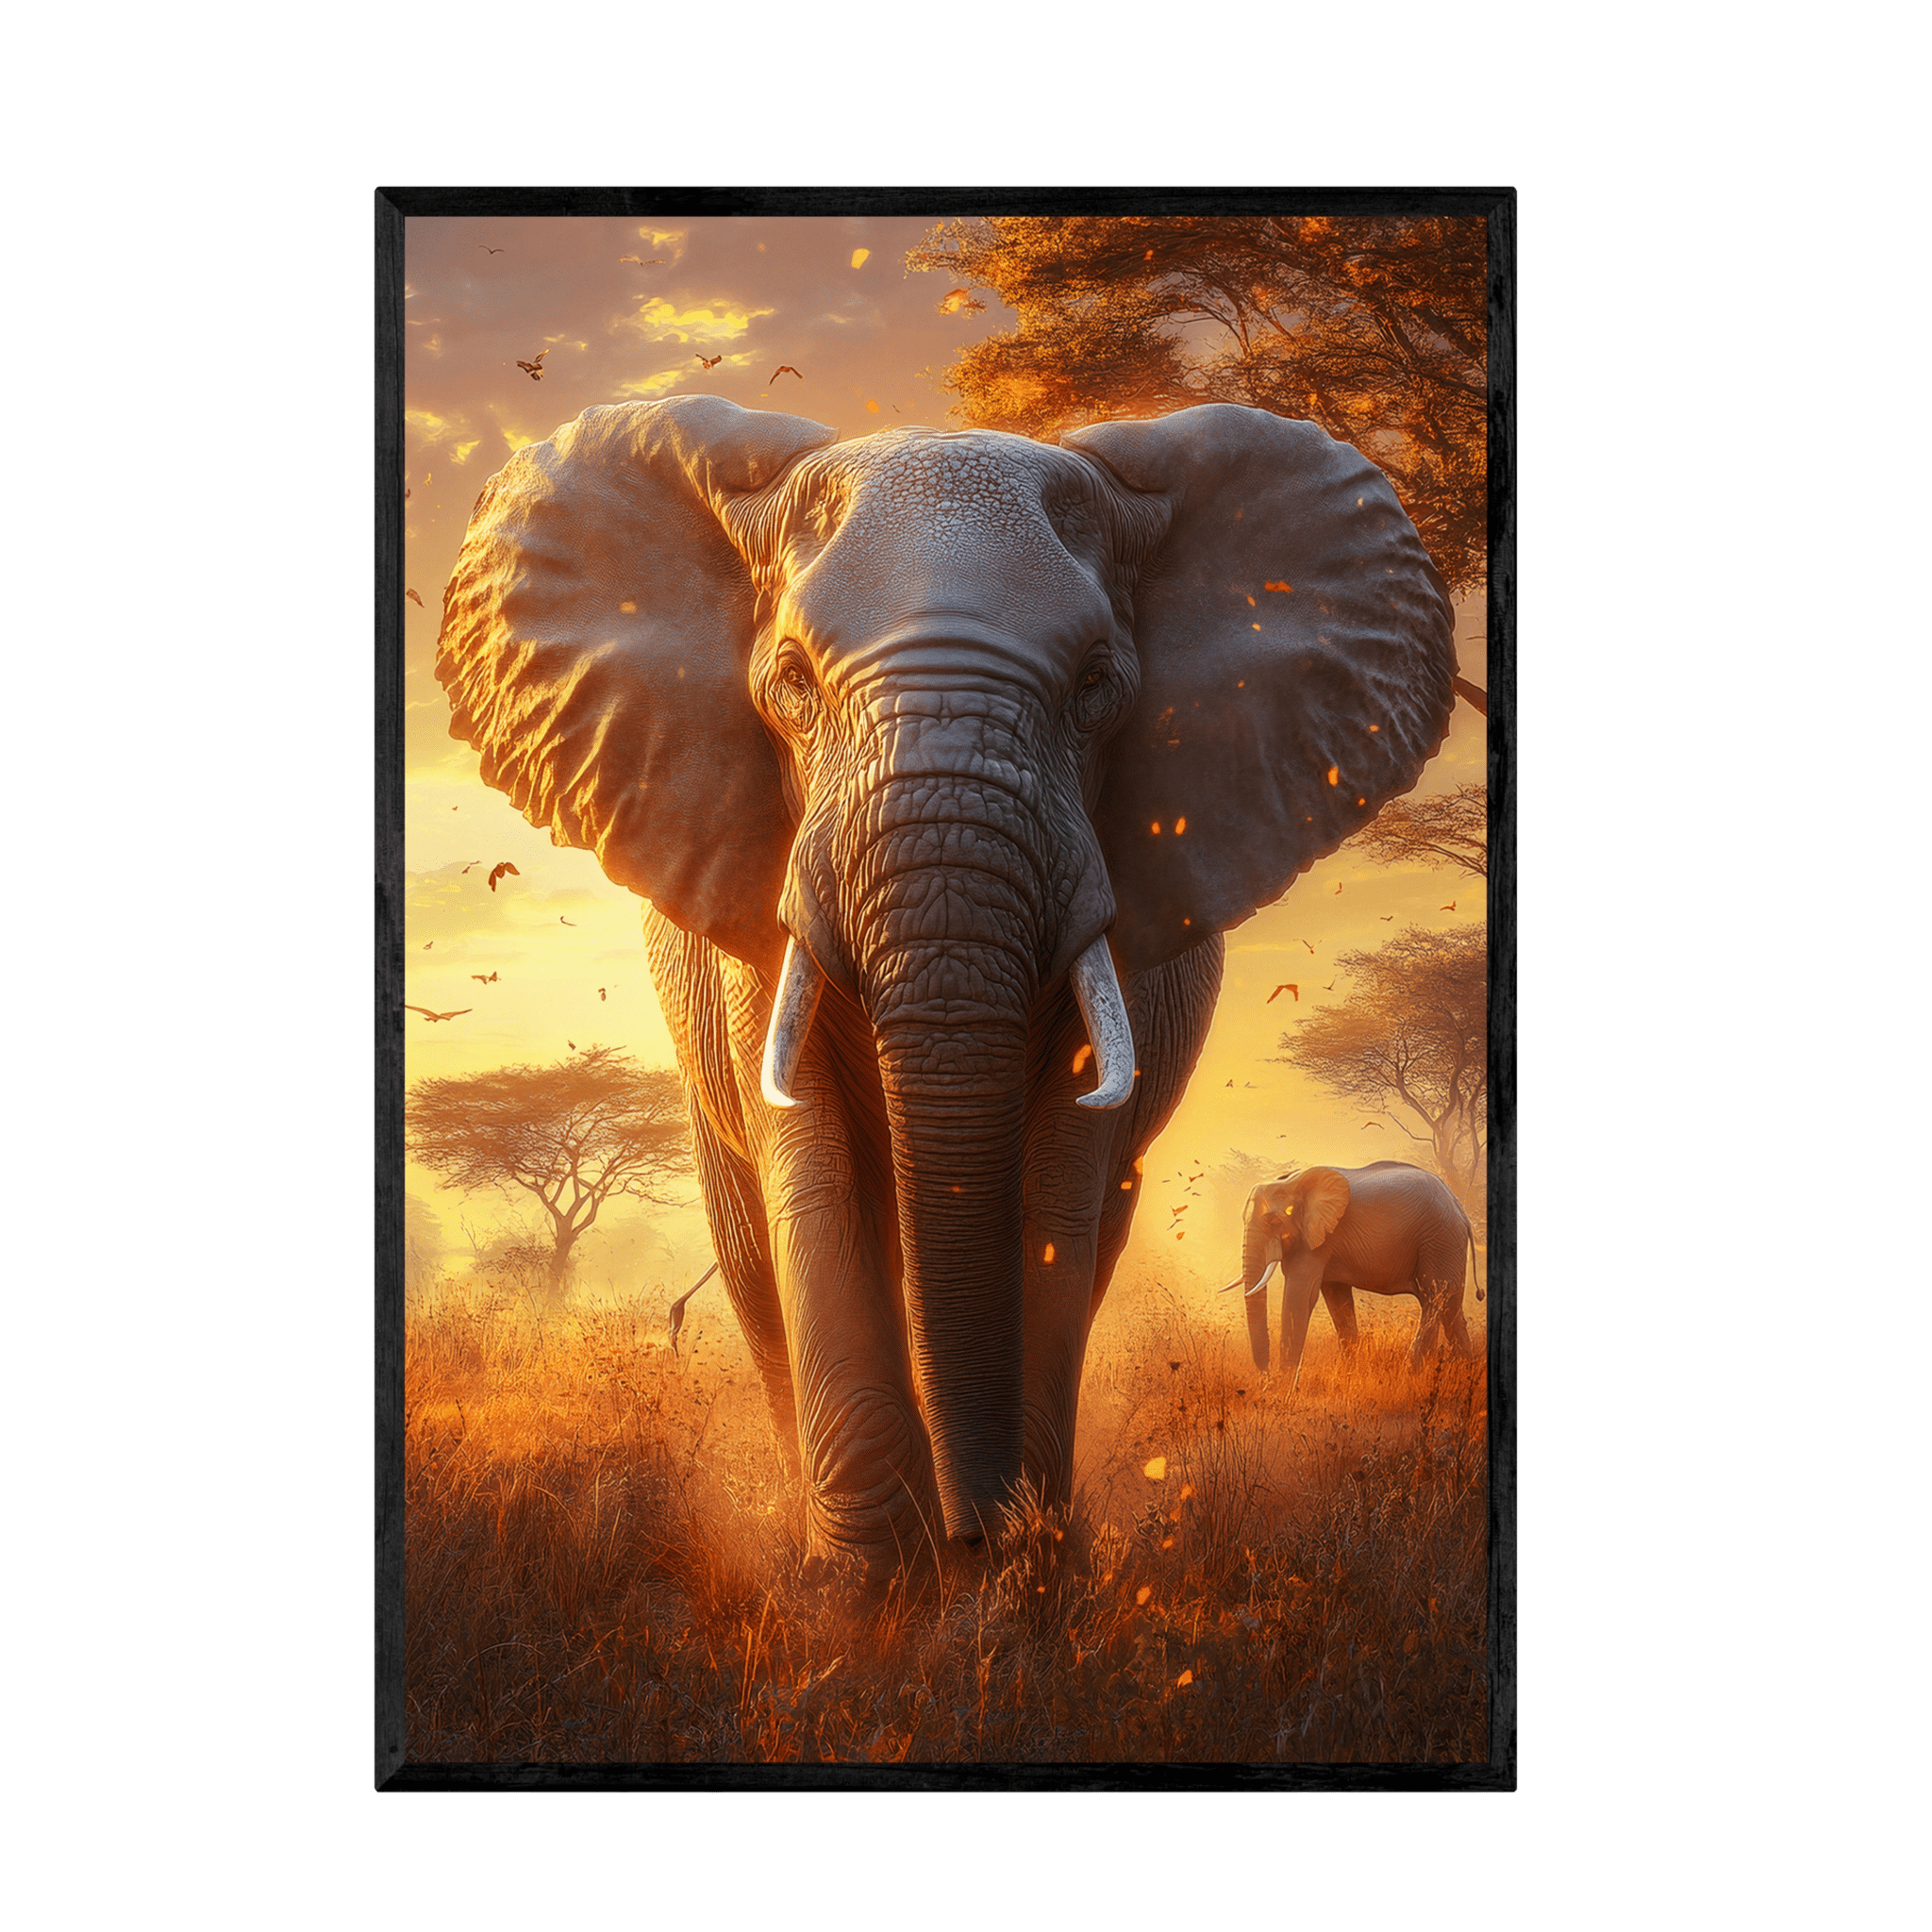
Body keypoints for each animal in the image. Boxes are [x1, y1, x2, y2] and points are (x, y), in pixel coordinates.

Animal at [1233, 1161, 1480, 1379]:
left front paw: (1282, 1387)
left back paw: (1413, 1373)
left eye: (1274, 1221)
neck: (1291, 1182)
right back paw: (1465, 1370)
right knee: (1451, 1308)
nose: (1265, 1372)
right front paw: (1345, 1375)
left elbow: (1301, 1295)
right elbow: (1336, 1298)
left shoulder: (1316, 1239)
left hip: (1439, 1239)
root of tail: (1460, 1209)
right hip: (1446, 1244)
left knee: (1434, 1298)